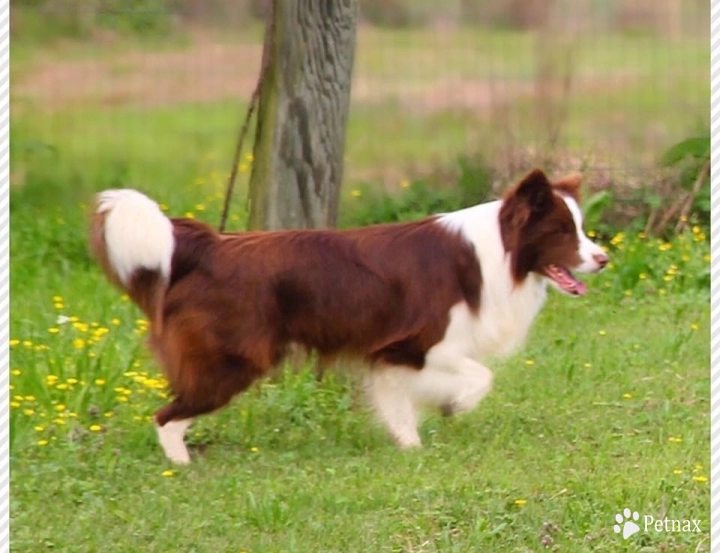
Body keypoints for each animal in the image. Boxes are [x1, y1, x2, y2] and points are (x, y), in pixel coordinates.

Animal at [88, 167, 608, 462]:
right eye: (562, 231)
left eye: (583, 228)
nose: (603, 258)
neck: (497, 250)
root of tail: (205, 247)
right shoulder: (415, 344)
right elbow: (481, 377)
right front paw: (454, 405)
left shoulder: (393, 357)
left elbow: (400, 404)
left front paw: (411, 445)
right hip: (232, 360)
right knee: (166, 414)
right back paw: (180, 465)